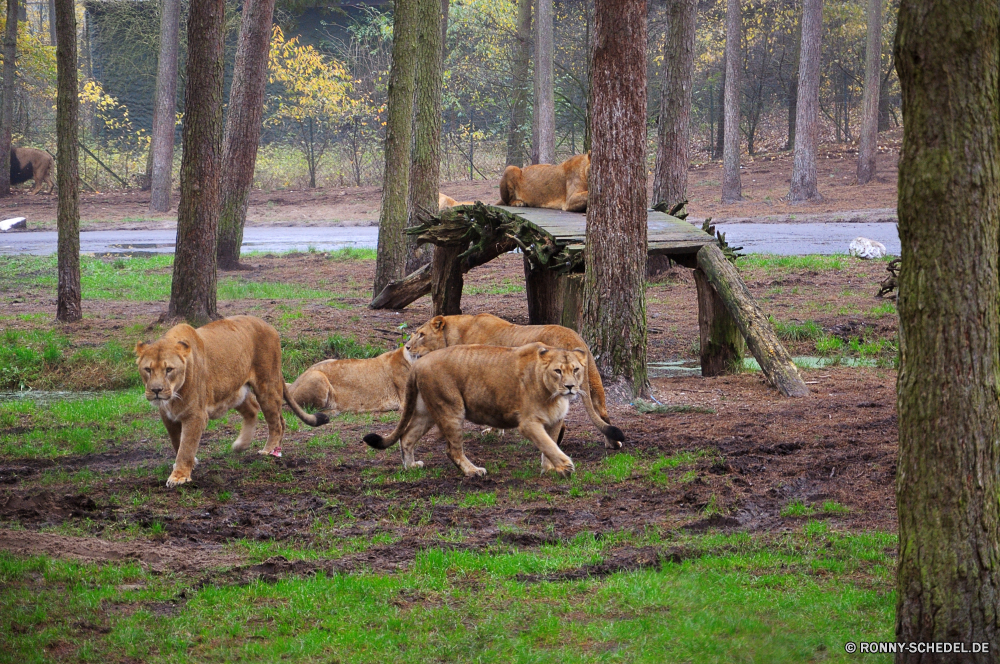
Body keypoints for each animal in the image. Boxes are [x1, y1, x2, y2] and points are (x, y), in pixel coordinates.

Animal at [133, 314, 326, 486]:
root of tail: (269, 326)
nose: (156, 390)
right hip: (234, 391)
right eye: (148, 369)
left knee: (276, 422)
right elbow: (176, 441)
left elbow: (186, 446)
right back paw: (243, 445)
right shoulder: (167, 416)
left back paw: (268, 450)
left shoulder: (196, 415)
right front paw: (190, 464)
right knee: (255, 410)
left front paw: (179, 476)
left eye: (169, 370)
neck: (173, 396)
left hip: (267, 385)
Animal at [360, 342, 616, 478]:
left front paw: (551, 469)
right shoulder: (528, 423)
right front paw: (565, 466)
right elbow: (548, 444)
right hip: (451, 408)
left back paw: (411, 466)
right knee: (452, 450)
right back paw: (472, 471)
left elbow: (549, 445)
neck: (553, 394)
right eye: (558, 371)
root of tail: (418, 363)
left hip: (427, 412)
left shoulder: (554, 421)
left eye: (576, 369)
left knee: (406, 437)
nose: (571, 387)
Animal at [402, 312, 620, 448]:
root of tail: (571, 337)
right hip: (594, 380)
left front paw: (492, 431)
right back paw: (613, 444)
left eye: (421, 335)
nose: (407, 347)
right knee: (602, 412)